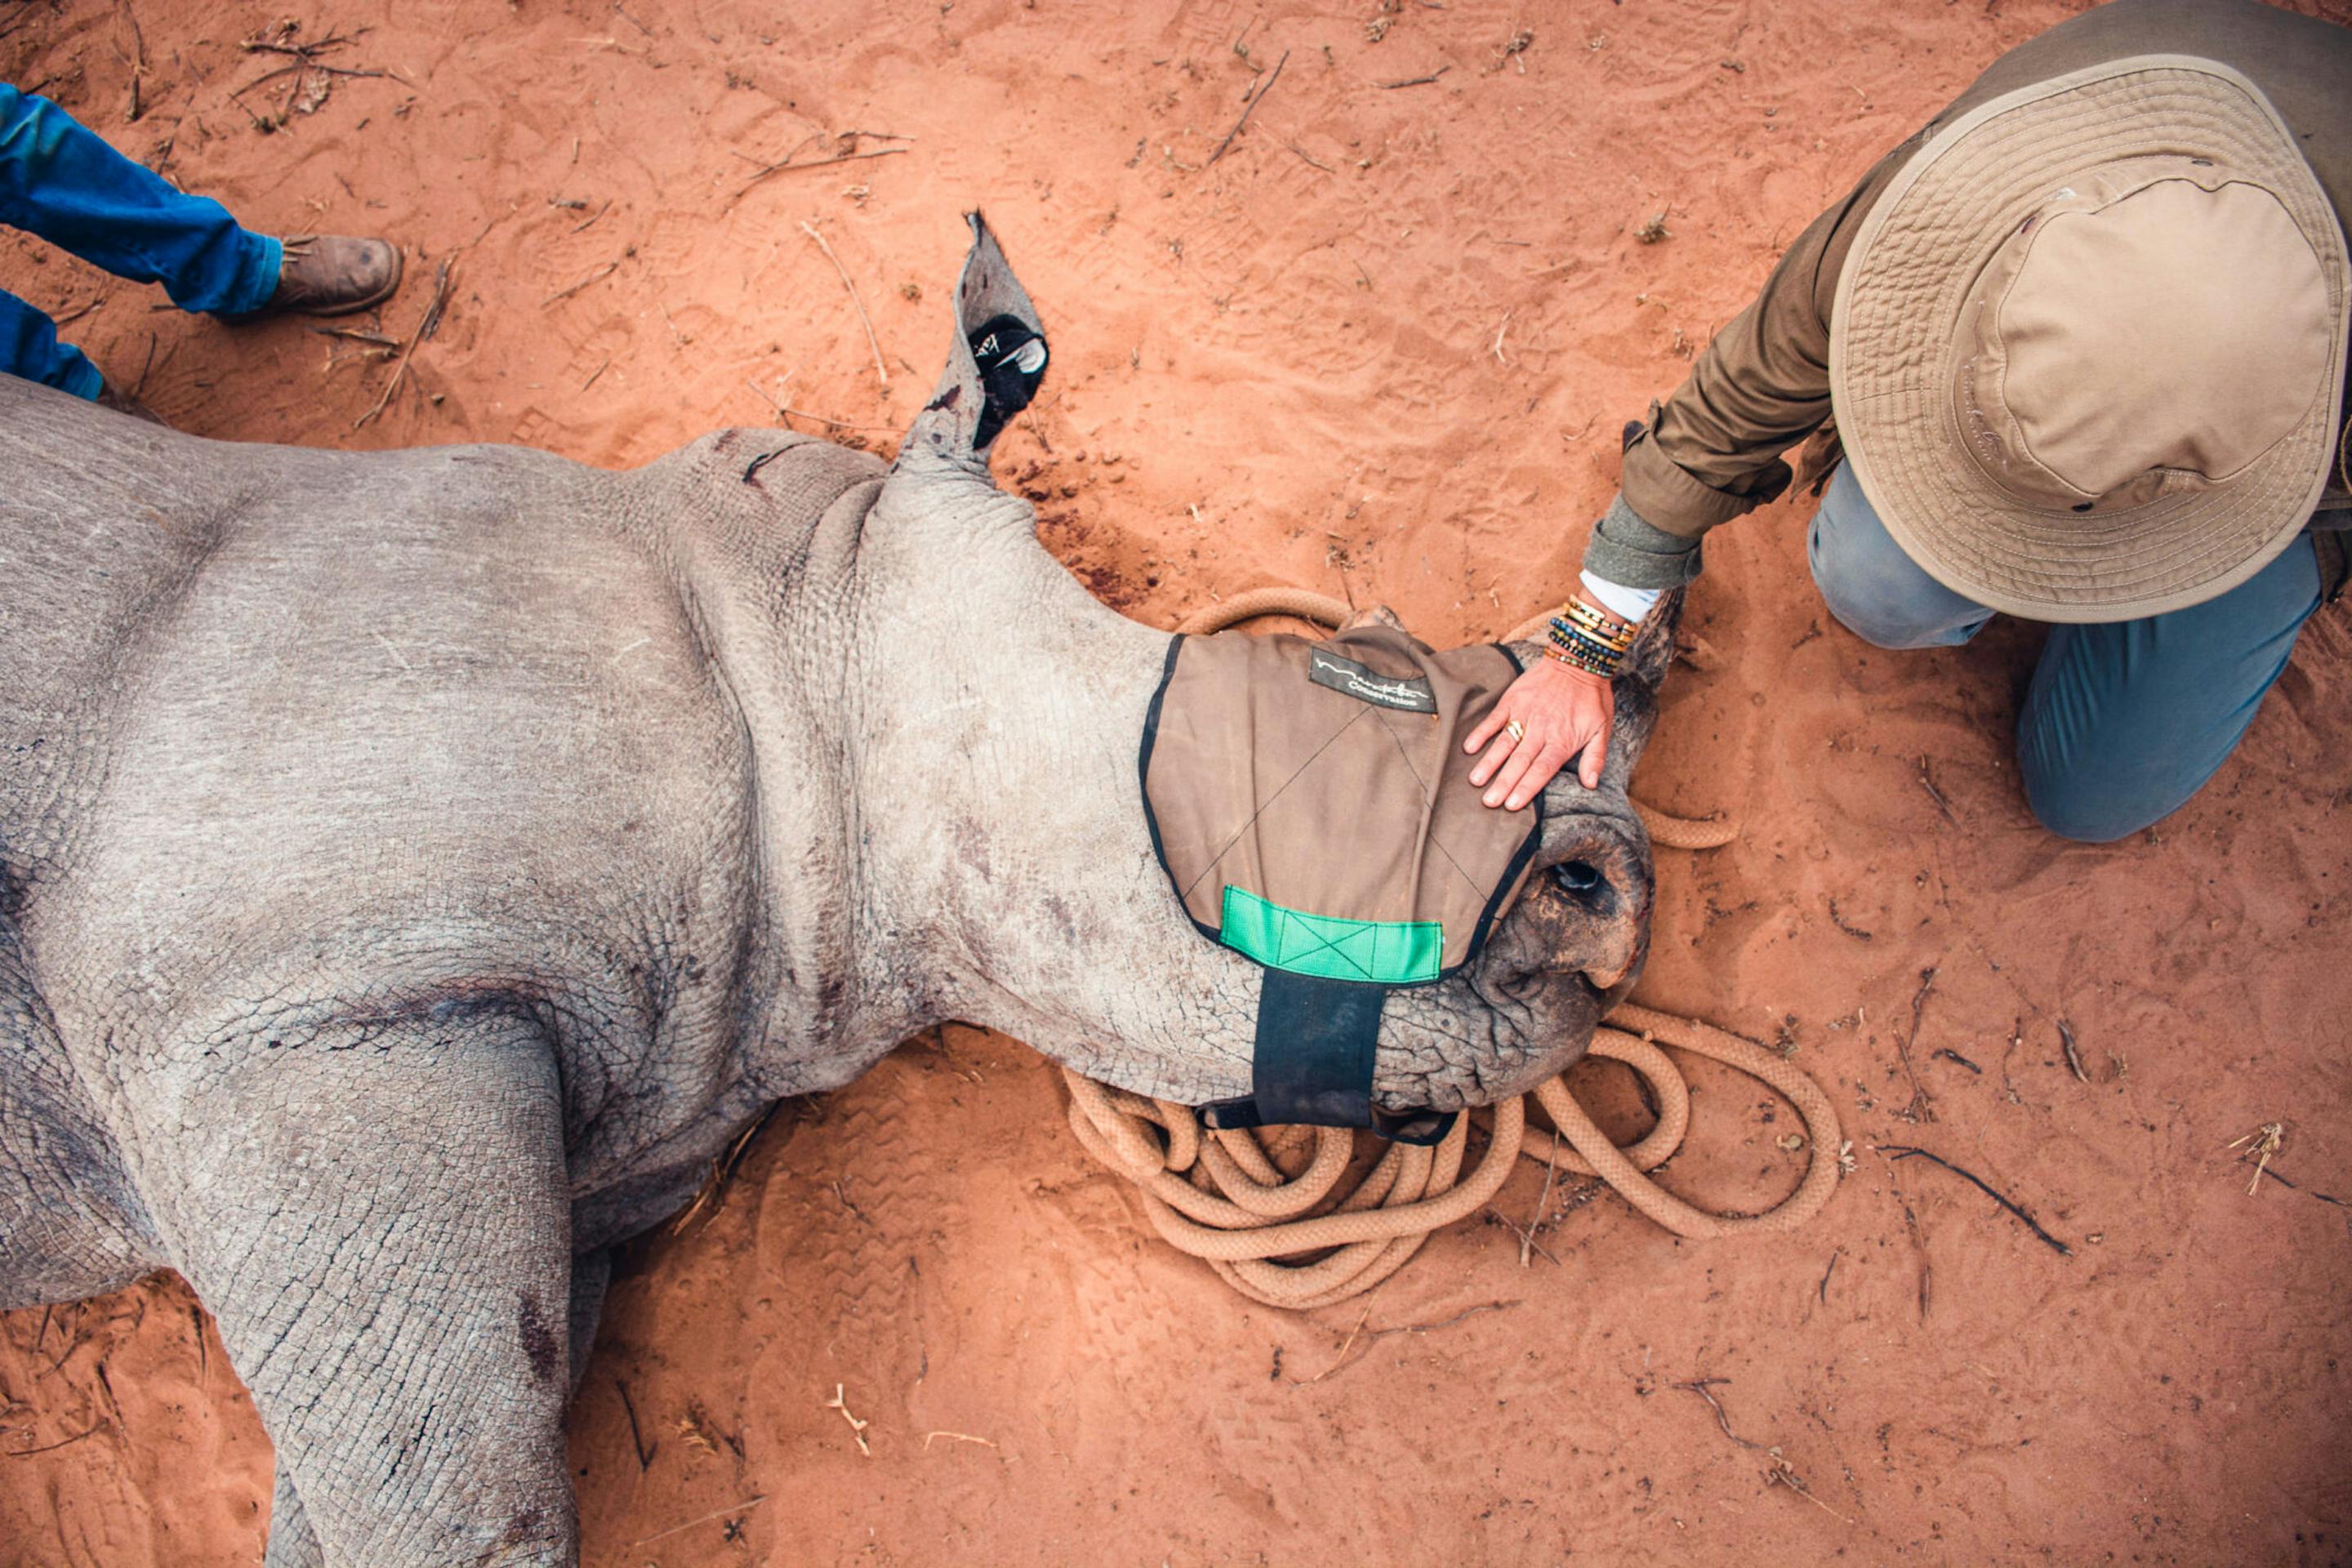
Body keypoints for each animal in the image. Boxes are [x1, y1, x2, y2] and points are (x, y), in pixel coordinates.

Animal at [0, 217, 1670, 1566]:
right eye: (1349, 688)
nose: (1612, 891)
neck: (803, 637)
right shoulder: (303, 1002)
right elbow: (466, 1506)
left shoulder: (600, 1146)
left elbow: (427, 1473)